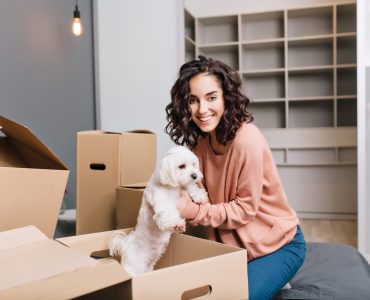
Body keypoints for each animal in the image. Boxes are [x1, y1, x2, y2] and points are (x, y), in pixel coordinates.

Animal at [109, 145, 208, 276]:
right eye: (182, 166)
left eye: (193, 165)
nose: (195, 175)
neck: (172, 187)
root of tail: (126, 245)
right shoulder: (161, 201)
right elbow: (168, 212)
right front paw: (177, 224)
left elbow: (189, 187)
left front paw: (199, 196)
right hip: (133, 268)